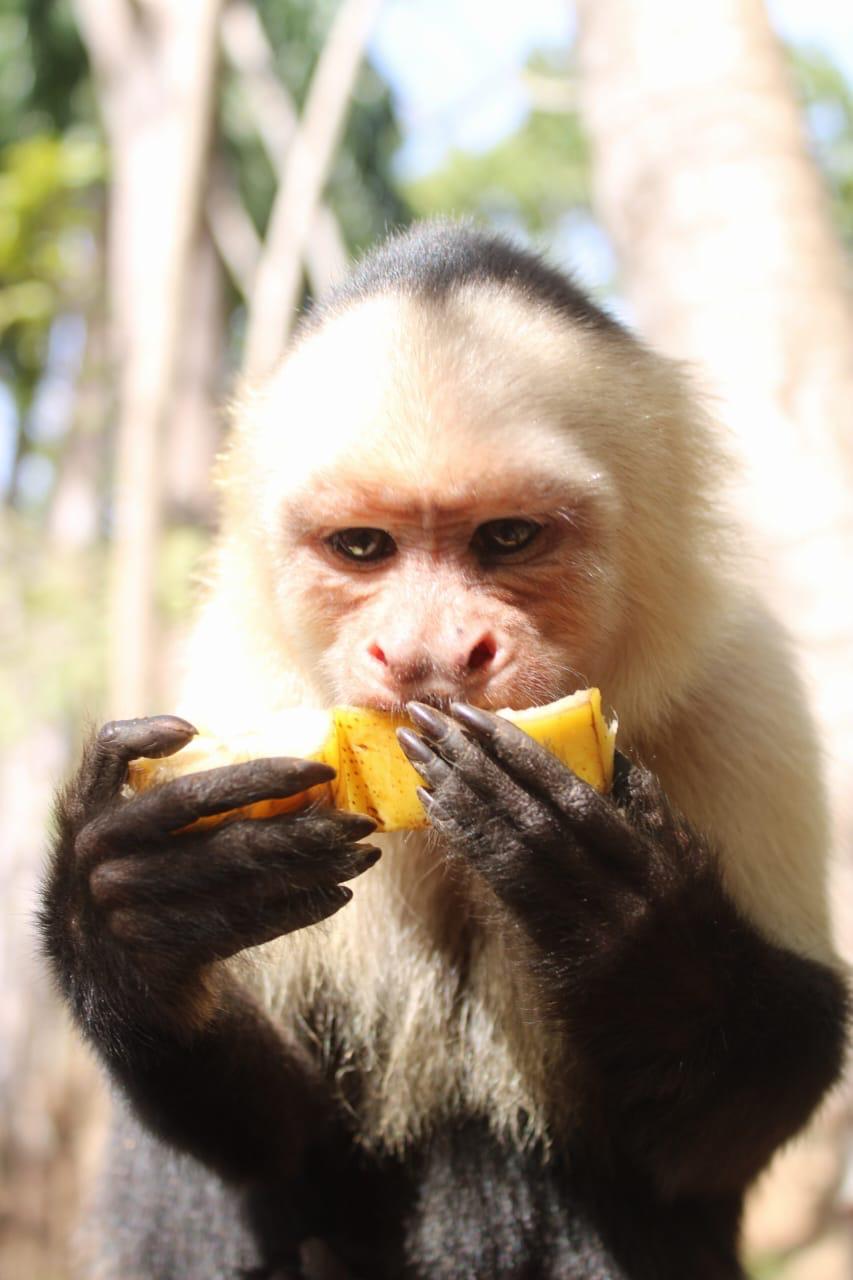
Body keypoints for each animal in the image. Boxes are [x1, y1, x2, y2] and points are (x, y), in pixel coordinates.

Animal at [41, 221, 848, 1279]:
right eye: (361, 547)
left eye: (506, 538)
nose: (430, 653)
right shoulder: (233, 682)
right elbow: (285, 1139)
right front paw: (132, 917)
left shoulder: (739, 689)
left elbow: (722, 1130)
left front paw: (630, 924)